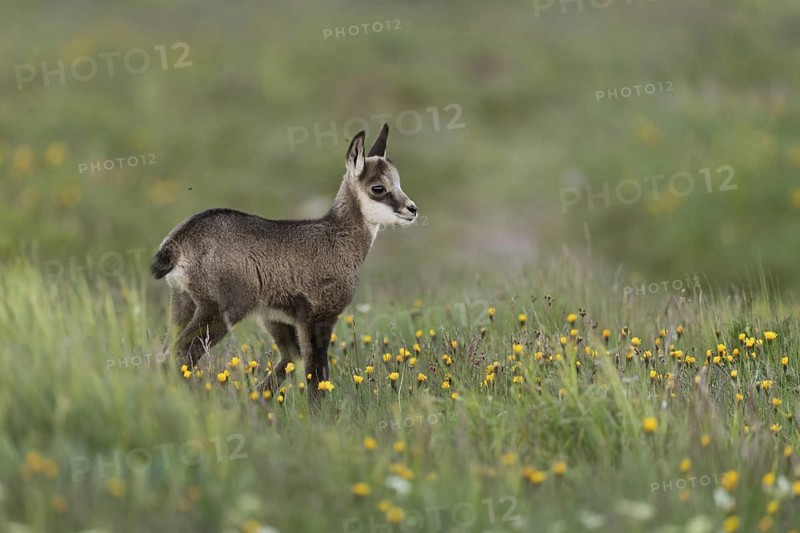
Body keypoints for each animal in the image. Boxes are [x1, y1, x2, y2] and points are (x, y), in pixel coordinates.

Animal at [150, 124, 416, 405]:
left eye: (398, 182)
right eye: (378, 187)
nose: (412, 209)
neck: (337, 237)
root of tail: (178, 240)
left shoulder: (278, 319)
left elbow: (290, 362)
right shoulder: (319, 316)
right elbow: (316, 374)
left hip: (183, 302)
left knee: (165, 353)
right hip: (220, 309)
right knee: (178, 354)